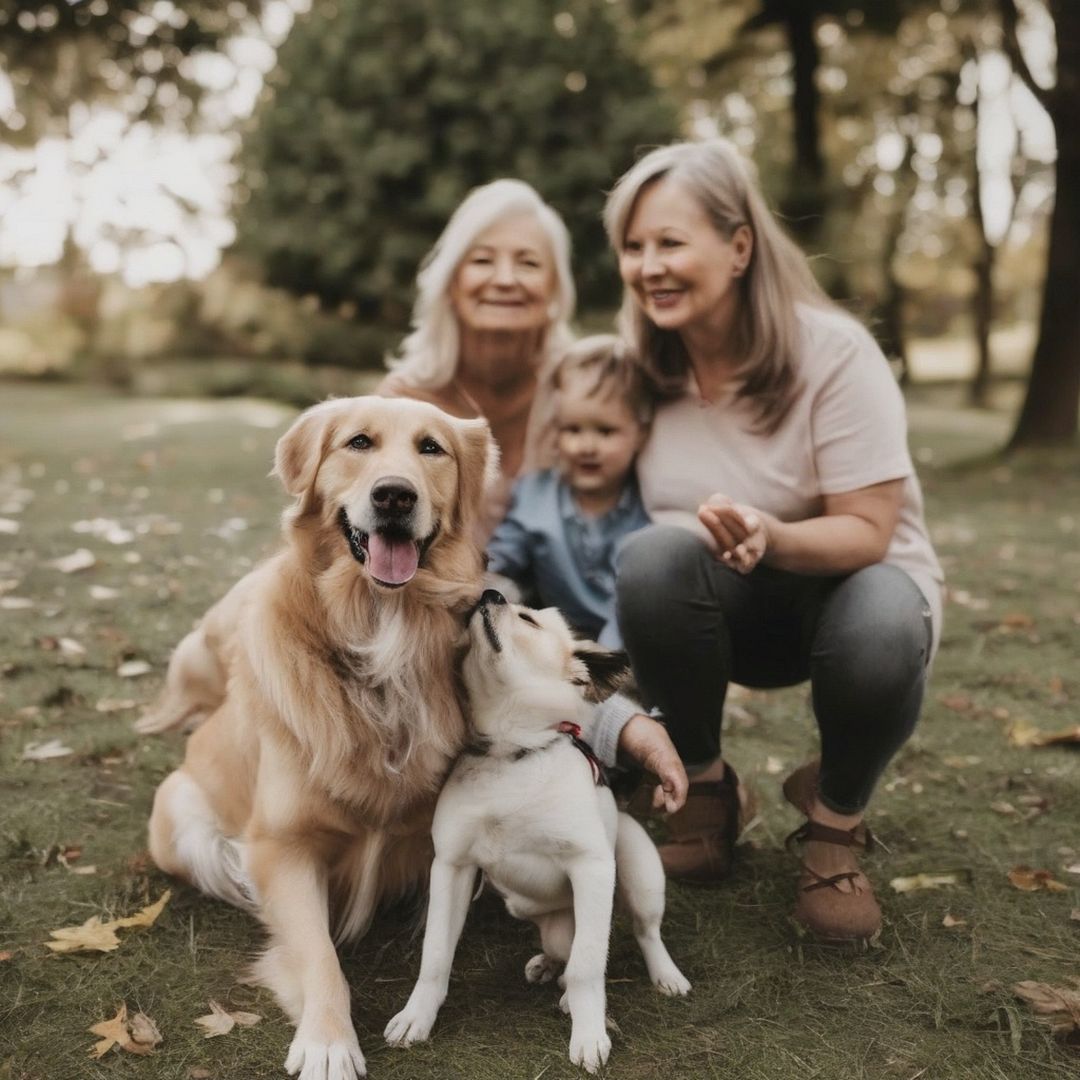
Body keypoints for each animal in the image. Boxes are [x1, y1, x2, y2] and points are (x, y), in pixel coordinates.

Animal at [386, 591, 691, 1071]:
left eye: (527, 619)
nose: (488, 593)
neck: (512, 751)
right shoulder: (451, 867)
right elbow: (434, 954)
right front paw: (417, 1016)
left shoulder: (591, 866)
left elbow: (589, 966)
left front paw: (589, 1033)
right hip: (549, 924)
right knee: (563, 952)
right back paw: (548, 968)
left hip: (642, 876)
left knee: (641, 935)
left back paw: (663, 976)